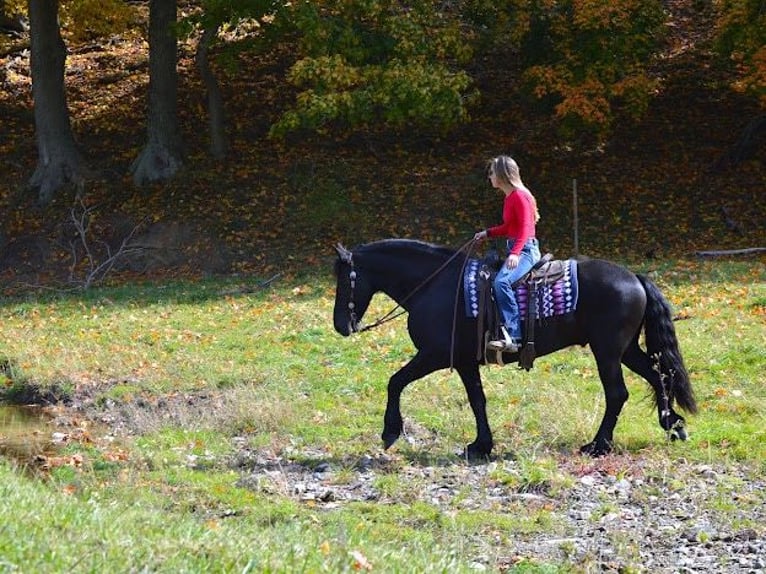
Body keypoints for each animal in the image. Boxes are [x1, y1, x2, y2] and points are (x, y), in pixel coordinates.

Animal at [332, 238, 700, 460]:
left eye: (344, 280)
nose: (340, 325)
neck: (436, 285)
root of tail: (635, 278)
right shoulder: (465, 362)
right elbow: (477, 400)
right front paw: (481, 445)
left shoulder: (434, 355)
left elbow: (395, 381)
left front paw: (390, 431)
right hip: (626, 349)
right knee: (659, 376)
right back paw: (673, 426)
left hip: (607, 351)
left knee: (617, 393)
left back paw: (598, 445)